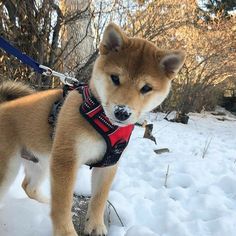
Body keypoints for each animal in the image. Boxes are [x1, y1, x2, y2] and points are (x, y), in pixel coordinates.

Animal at [0, 22, 184, 236]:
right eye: (115, 78)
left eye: (146, 88)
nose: (122, 112)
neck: (100, 118)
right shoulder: (66, 160)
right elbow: (63, 204)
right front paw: (66, 232)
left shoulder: (109, 163)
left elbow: (99, 199)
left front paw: (95, 226)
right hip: (10, 166)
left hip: (40, 162)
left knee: (28, 186)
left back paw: (44, 202)